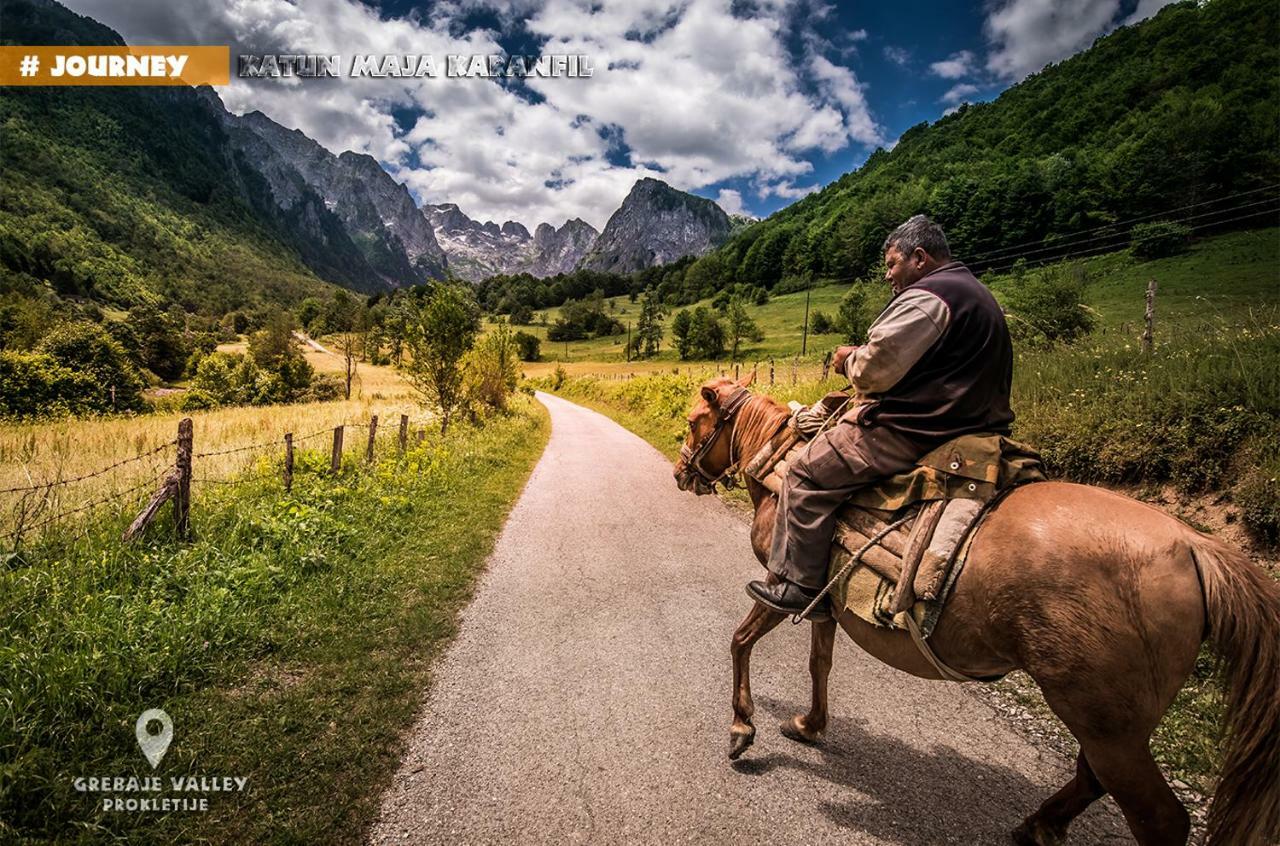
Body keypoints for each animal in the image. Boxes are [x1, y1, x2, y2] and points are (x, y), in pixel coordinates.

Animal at [675, 376, 1274, 844]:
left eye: (692, 421)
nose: (681, 474)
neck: (783, 470)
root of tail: (1193, 546)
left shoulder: (784, 587)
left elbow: (741, 640)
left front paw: (742, 727)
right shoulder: (827, 605)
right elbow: (819, 664)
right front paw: (809, 724)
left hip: (1106, 723)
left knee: (1159, 817)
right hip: (1113, 725)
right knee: (1093, 778)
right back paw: (1039, 825)